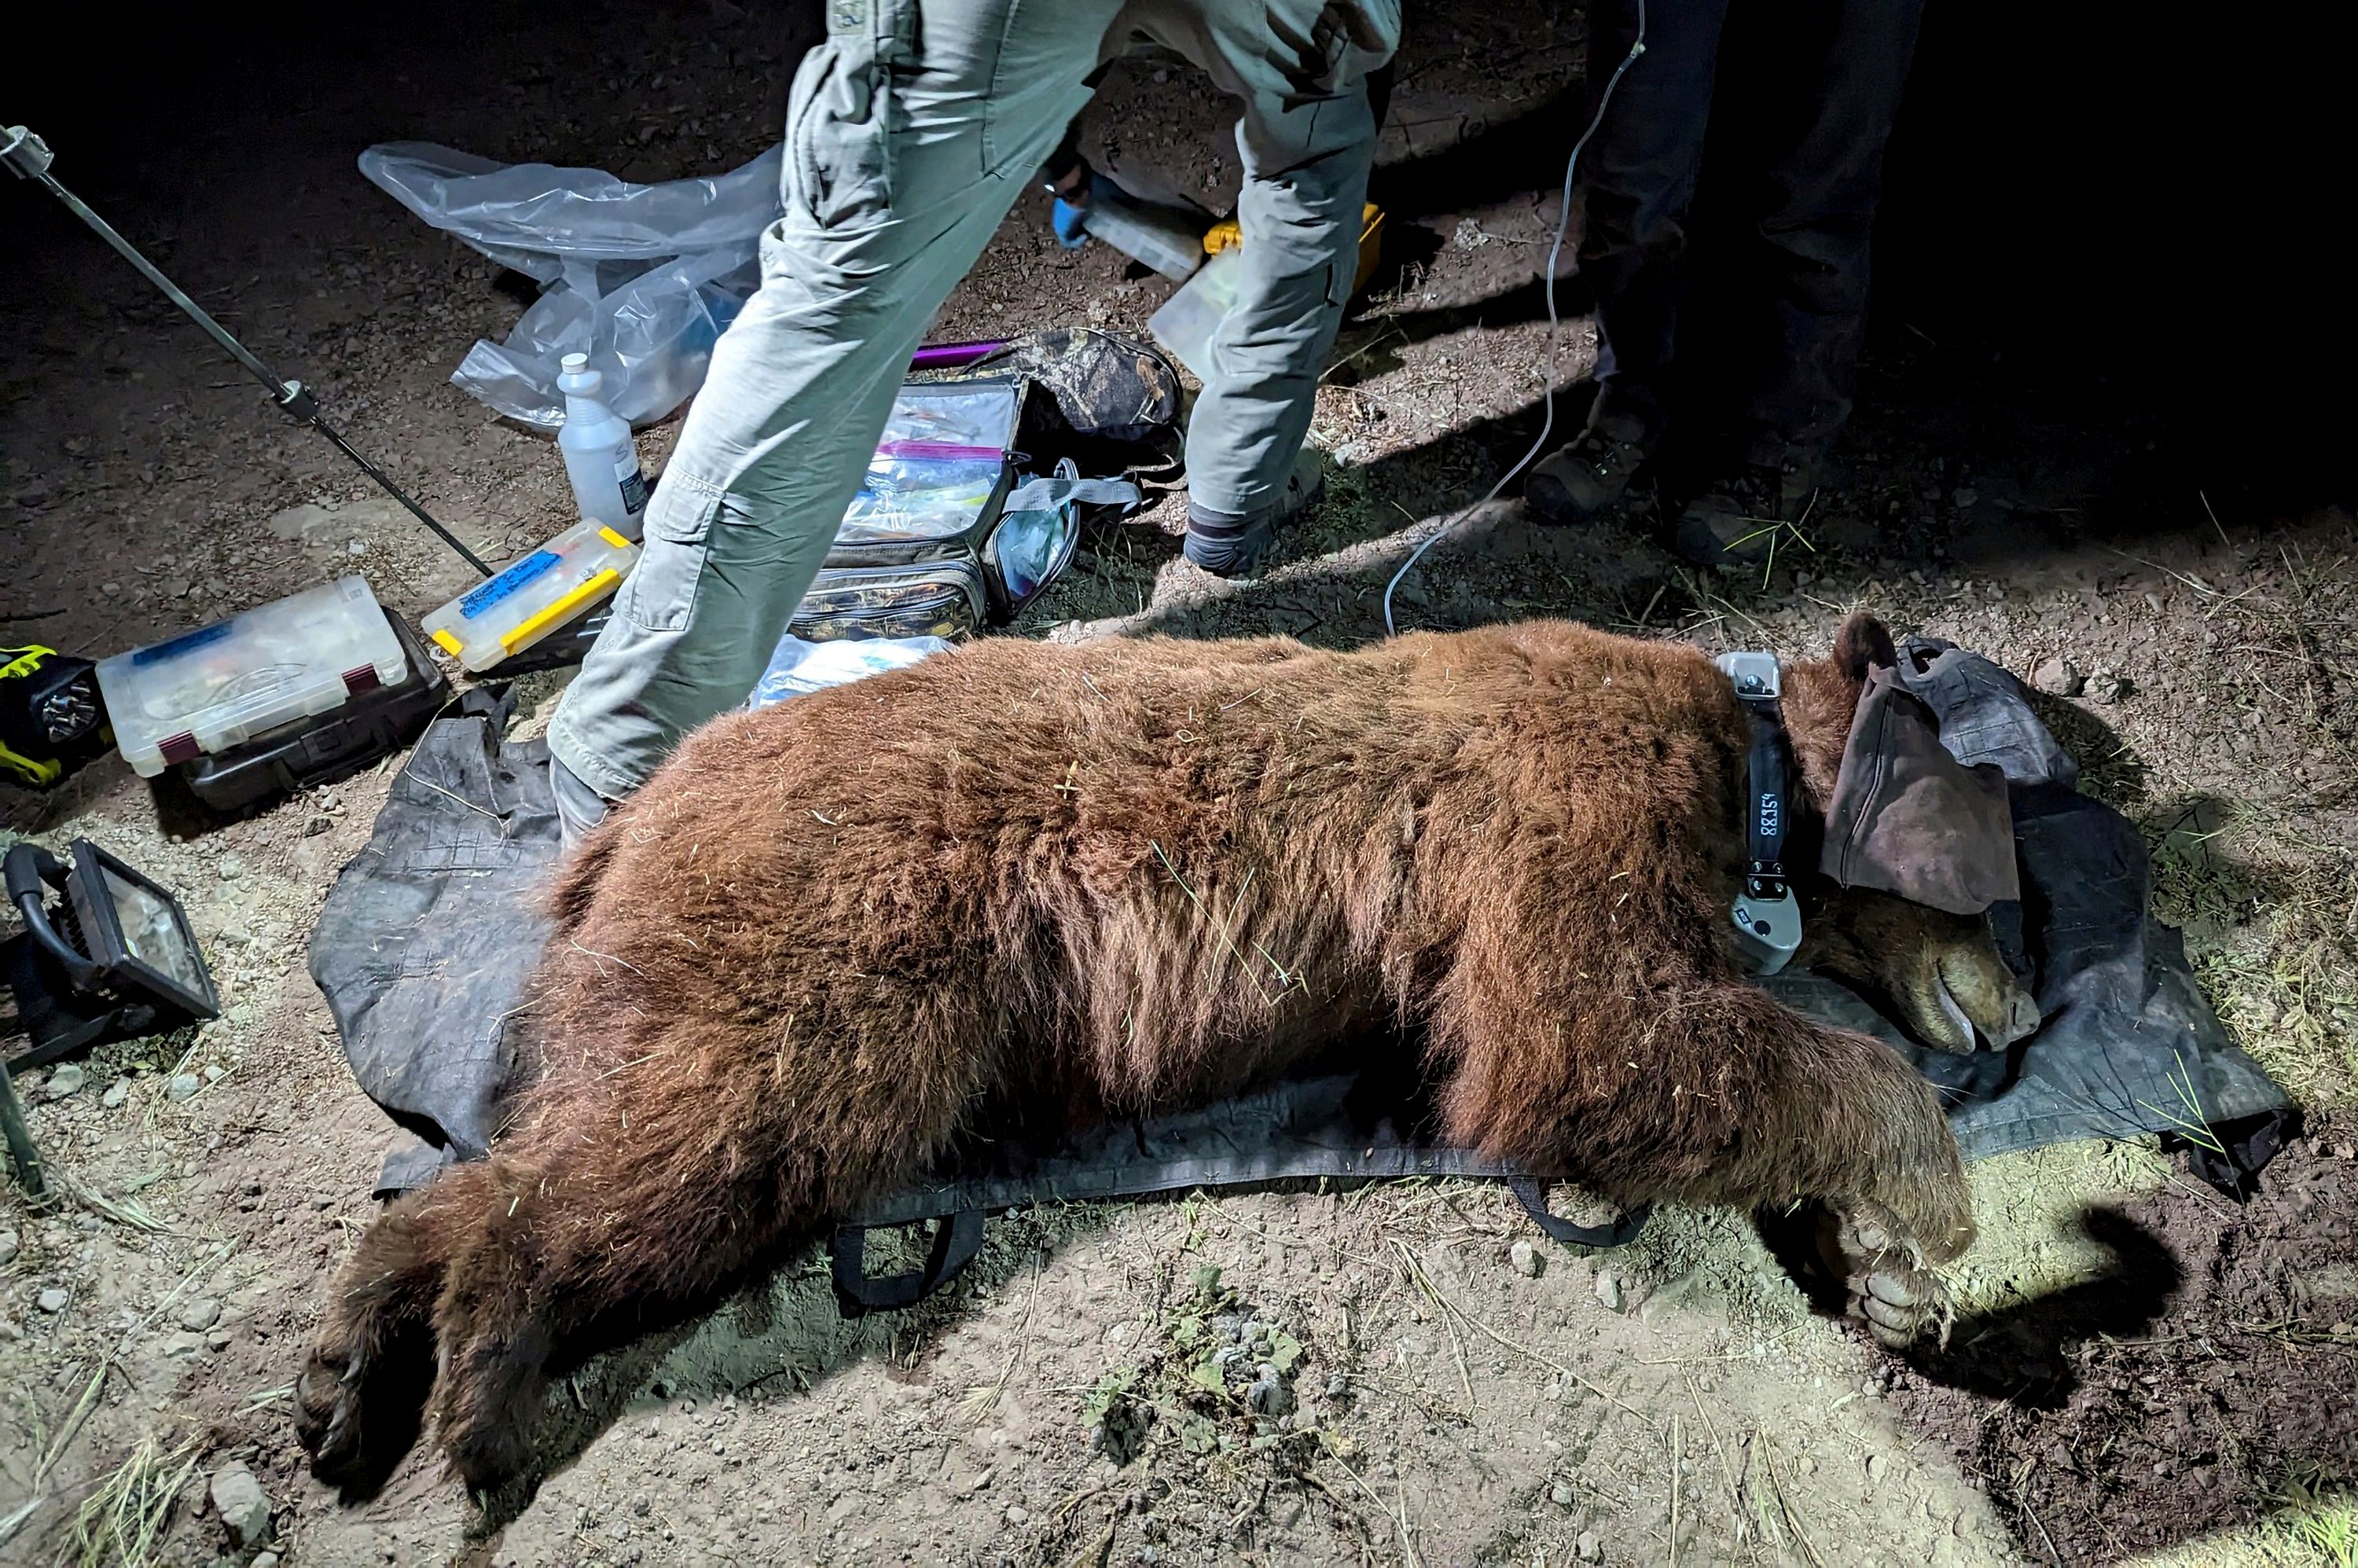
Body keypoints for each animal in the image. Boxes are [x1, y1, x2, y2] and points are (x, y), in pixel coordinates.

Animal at [297, 612, 2035, 1502]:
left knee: (562, 1146)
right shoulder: (1569, 805)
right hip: (838, 953)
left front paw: (1877, 1270)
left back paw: (349, 1369)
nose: (2019, 1009)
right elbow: (1590, 1038)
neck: (1751, 774)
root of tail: (629, 816)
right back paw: (481, 1387)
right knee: (678, 1147)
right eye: (2005, 877)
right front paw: (1927, 1215)